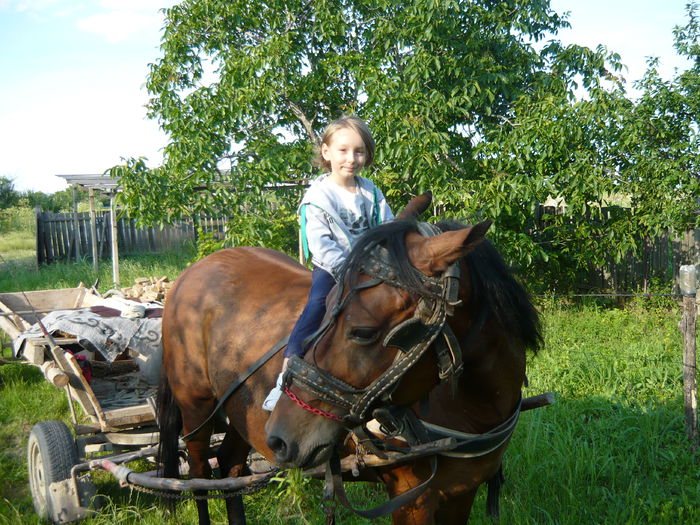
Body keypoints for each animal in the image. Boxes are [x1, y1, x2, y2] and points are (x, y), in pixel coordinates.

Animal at [159, 193, 540, 524]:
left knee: (230, 467)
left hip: (241, 412)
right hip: (197, 409)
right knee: (199, 477)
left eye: (362, 332)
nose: (282, 437)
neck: (475, 408)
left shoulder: (462, 492)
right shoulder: (412, 499)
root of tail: (190, 273)